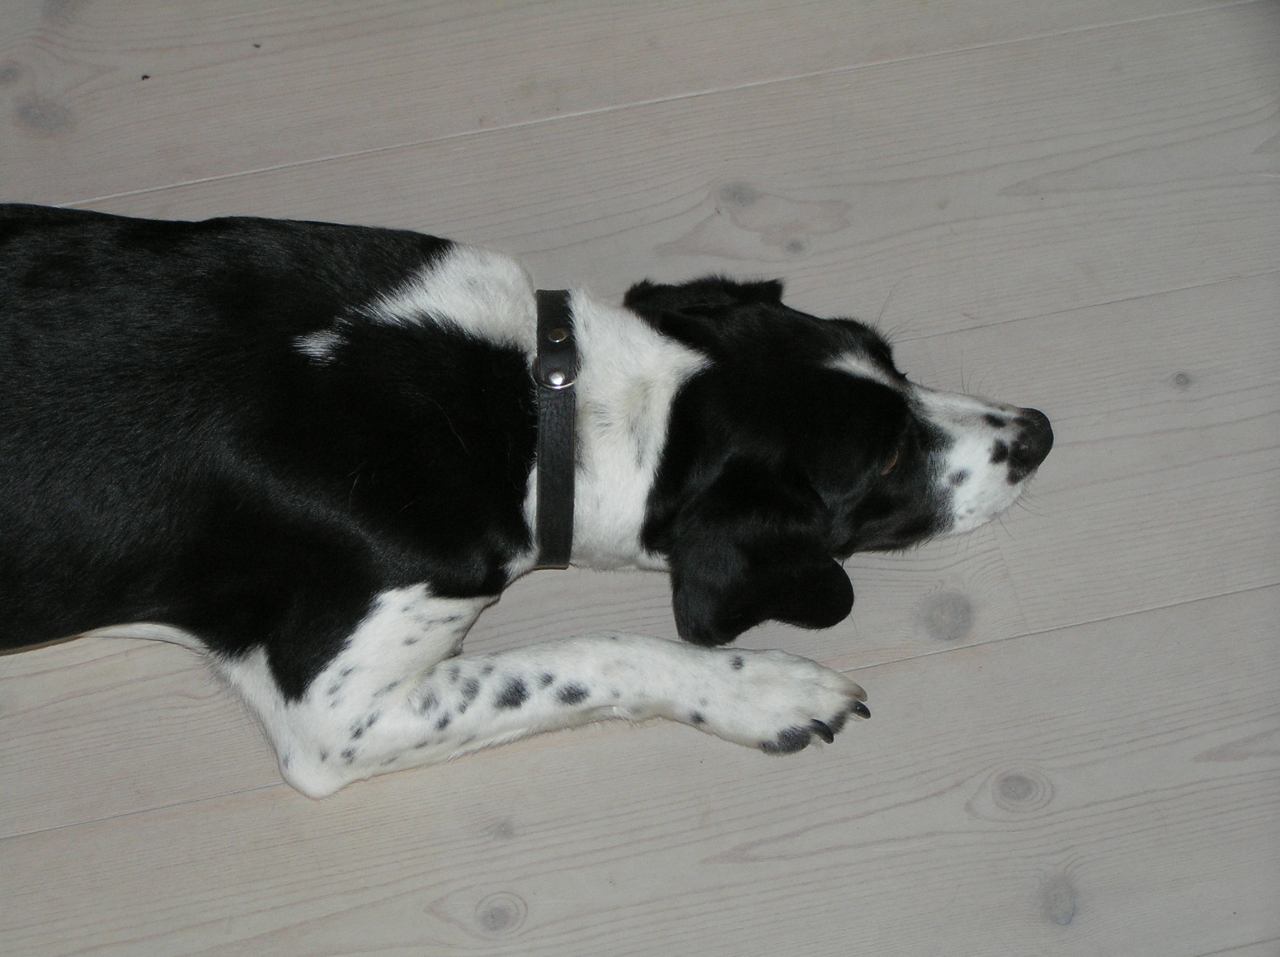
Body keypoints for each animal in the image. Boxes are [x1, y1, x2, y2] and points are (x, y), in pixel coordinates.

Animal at [0, 204, 1052, 797]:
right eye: (883, 462)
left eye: (890, 358)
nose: (1039, 432)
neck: (537, 400)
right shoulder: (337, 716)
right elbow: (599, 653)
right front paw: (764, 688)